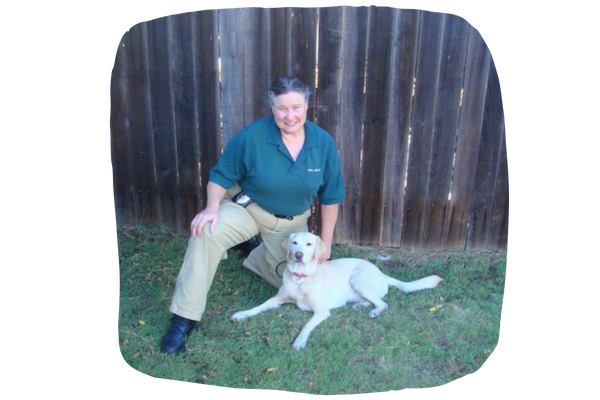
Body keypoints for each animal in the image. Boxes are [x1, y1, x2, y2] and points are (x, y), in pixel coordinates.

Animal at [232, 231, 442, 350]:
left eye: (309, 244)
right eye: (294, 243)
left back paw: (373, 311)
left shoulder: (321, 311)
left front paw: (300, 341)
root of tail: (382, 273)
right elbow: (259, 306)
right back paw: (359, 306)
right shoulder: (277, 299)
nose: (298, 255)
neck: (301, 278)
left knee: (383, 303)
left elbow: (307, 325)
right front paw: (242, 314)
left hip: (357, 279)